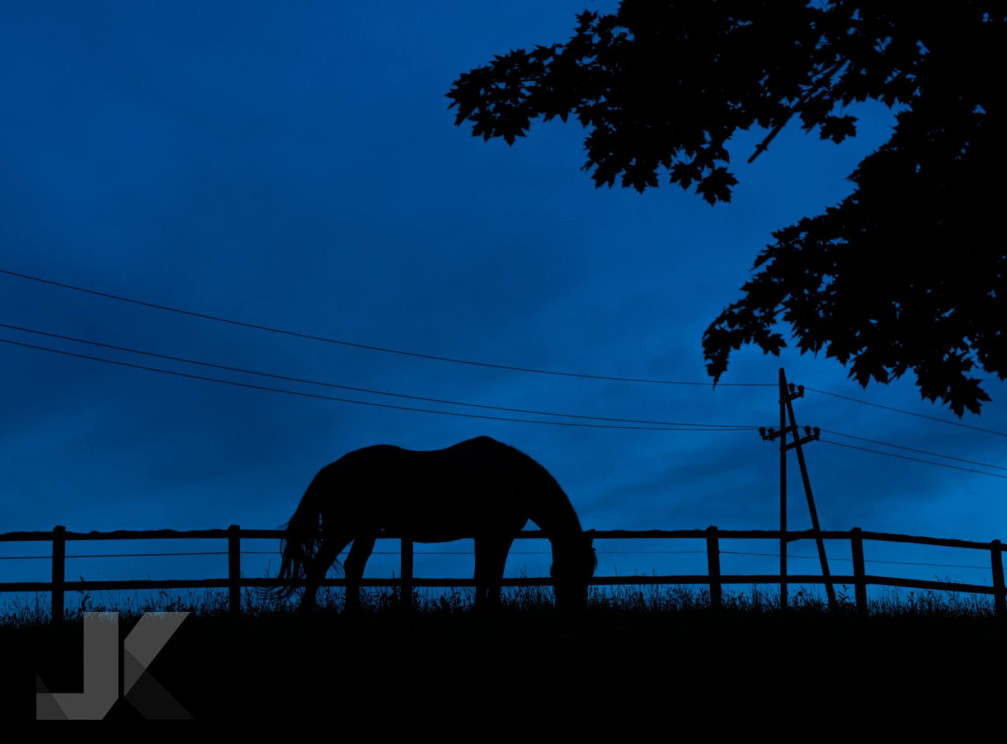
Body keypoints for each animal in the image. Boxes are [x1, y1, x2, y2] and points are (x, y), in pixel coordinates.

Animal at [271, 436, 592, 612]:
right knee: (322, 568)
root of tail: (331, 469)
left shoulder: (484, 536)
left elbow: (484, 575)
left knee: (350, 569)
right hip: (346, 530)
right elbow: (492, 575)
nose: (577, 609)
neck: (515, 476)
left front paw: (483, 608)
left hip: (362, 531)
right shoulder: (499, 535)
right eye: (575, 570)